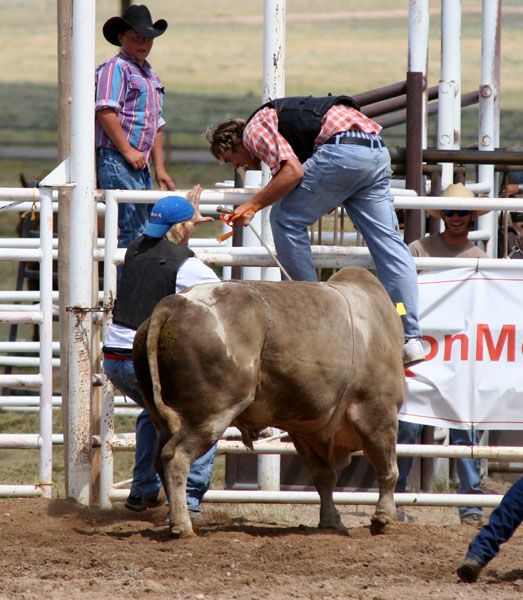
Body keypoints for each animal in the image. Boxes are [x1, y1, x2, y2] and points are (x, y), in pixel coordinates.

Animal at [134, 268, 406, 540]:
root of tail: (174, 303)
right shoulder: (378, 411)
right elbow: (388, 469)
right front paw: (384, 519)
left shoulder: (305, 429)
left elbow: (324, 476)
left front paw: (331, 521)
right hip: (210, 413)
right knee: (176, 457)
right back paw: (183, 525)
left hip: (163, 418)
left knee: (159, 459)